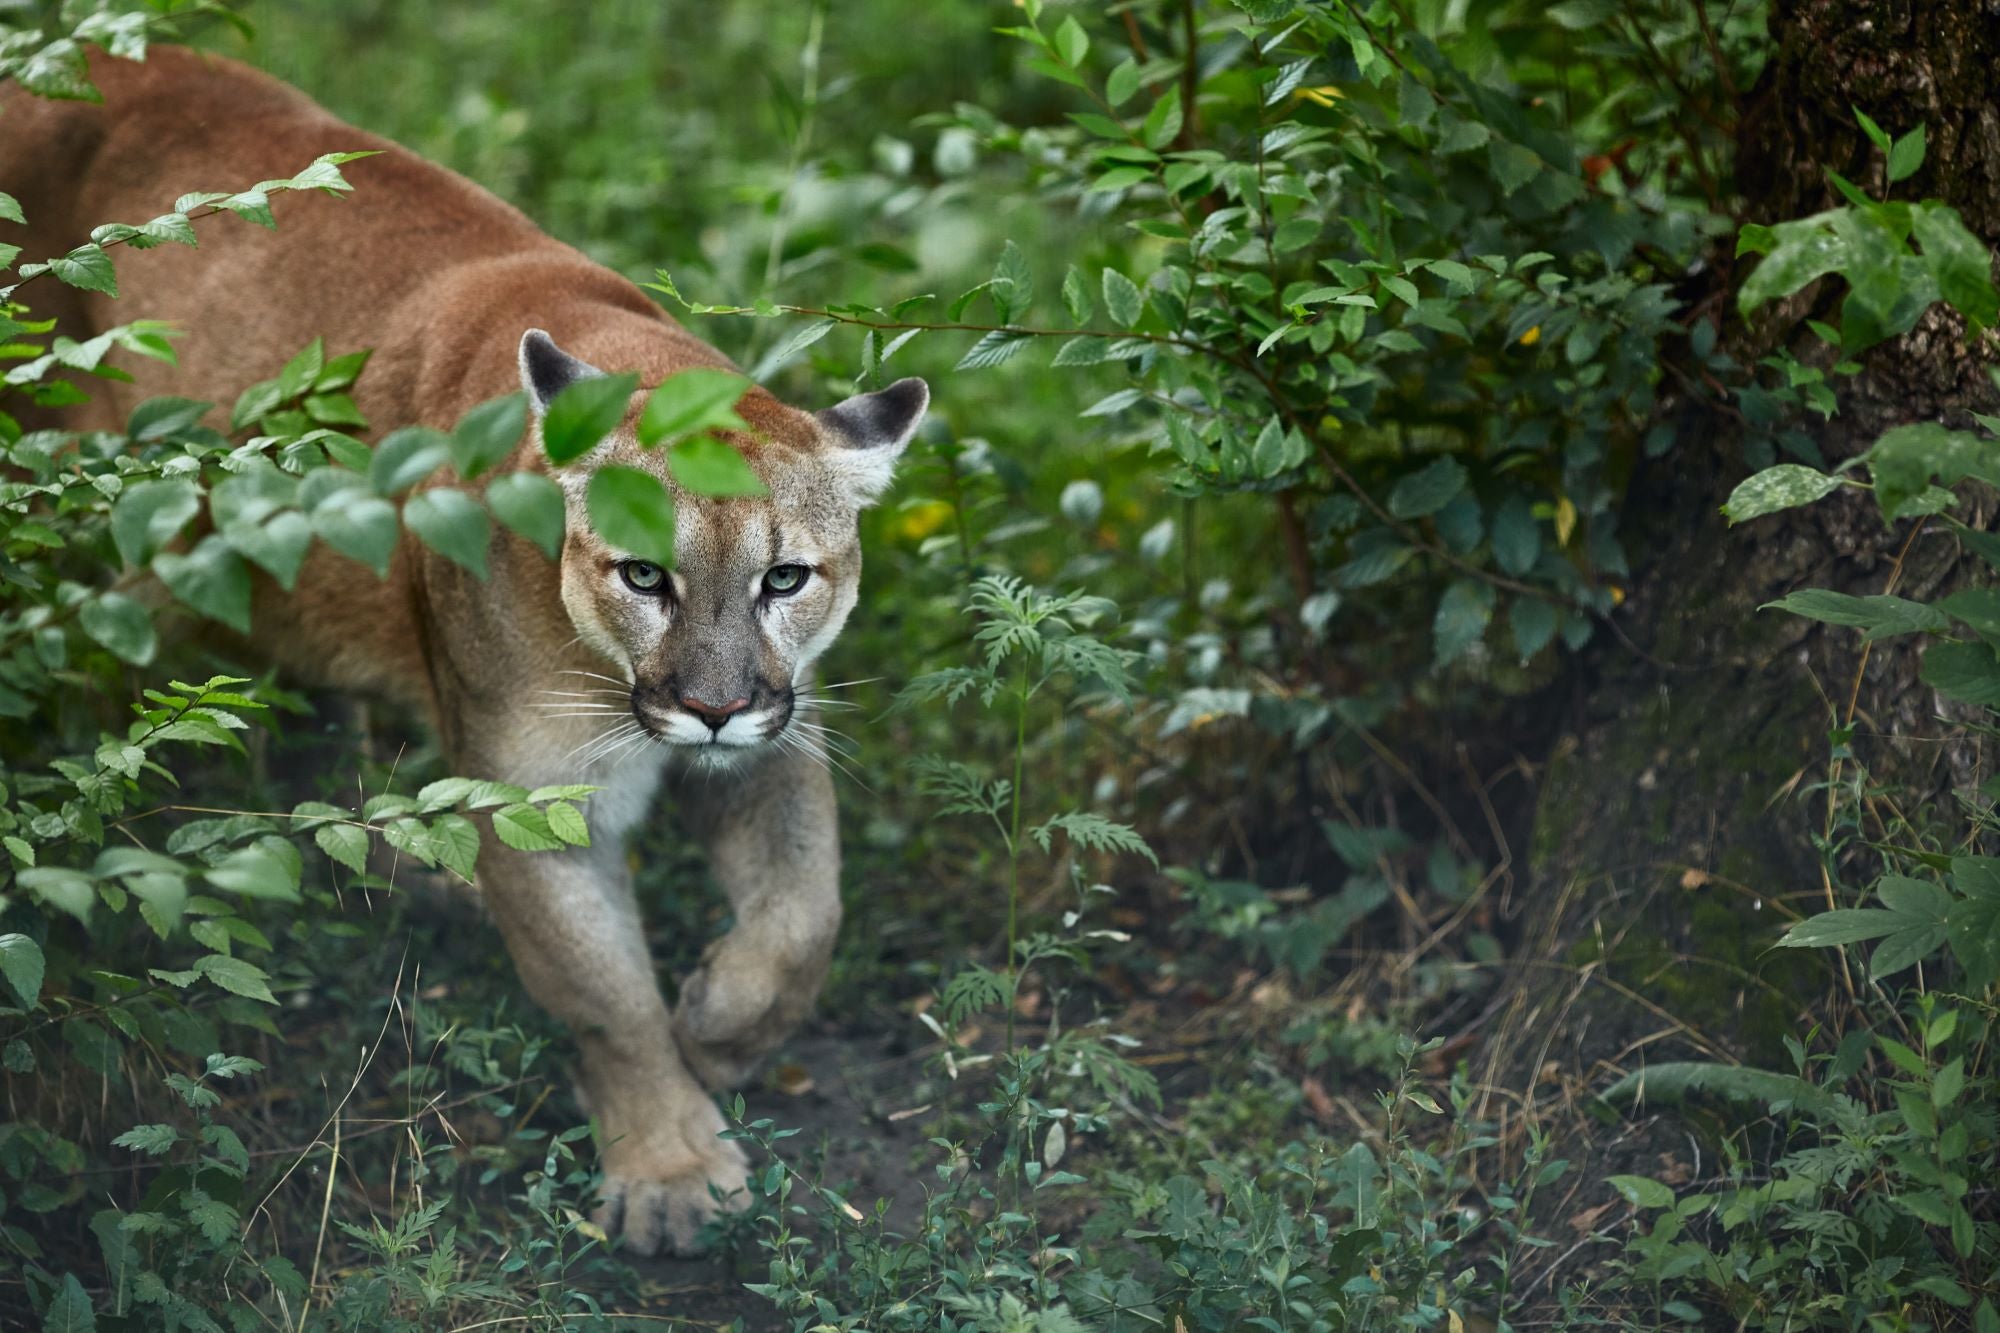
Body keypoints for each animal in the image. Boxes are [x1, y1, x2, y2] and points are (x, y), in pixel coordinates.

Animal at [0, 41, 920, 1248]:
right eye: (643, 575)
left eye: (784, 578)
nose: (712, 708)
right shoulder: (535, 791)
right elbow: (603, 993)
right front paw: (668, 1167)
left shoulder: (775, 732)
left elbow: (806, 912)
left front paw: (720, 1027)